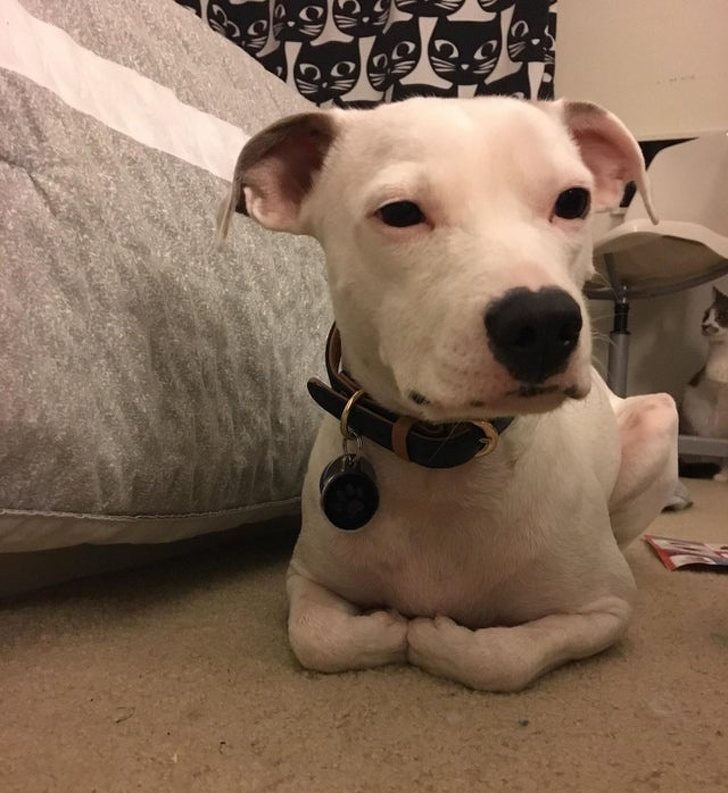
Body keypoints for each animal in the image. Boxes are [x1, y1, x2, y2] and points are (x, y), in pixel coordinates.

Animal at [217, 97, 678, 691]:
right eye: (399, 213)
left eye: (573, 201)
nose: (542, 322)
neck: (441, 461)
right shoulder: (308, 578)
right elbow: (317, 639)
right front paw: (387, 626)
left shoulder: (606, 608)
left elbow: (504, 657)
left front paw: (439, 637)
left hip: (658, 421)